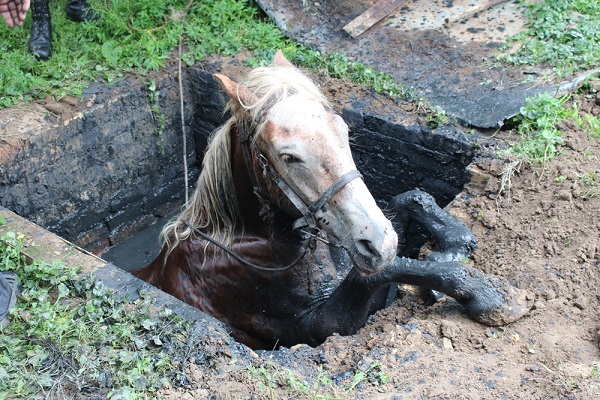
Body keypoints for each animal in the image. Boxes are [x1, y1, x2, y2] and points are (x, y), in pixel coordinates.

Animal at [134, 50, 532, 350]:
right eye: (288, 156)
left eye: (342, 129)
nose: (378, 242)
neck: (249, 241)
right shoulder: (316, 328)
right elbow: (380, 271)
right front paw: (488, 295)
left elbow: (410, 200)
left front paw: (452, 245)